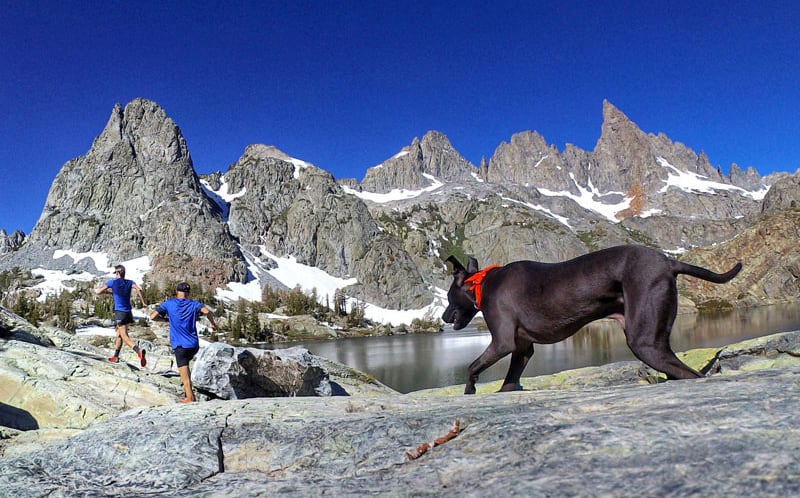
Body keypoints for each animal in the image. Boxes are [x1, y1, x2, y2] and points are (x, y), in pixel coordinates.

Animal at [440, 244, 740, 392]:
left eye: (448, 295)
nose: (442, 317)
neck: (482, 283)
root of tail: (669, 262)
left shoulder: (503, 343)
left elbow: (471, 368)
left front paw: (469, 390)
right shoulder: (522, 349)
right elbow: (509, 383)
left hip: (644, 342)